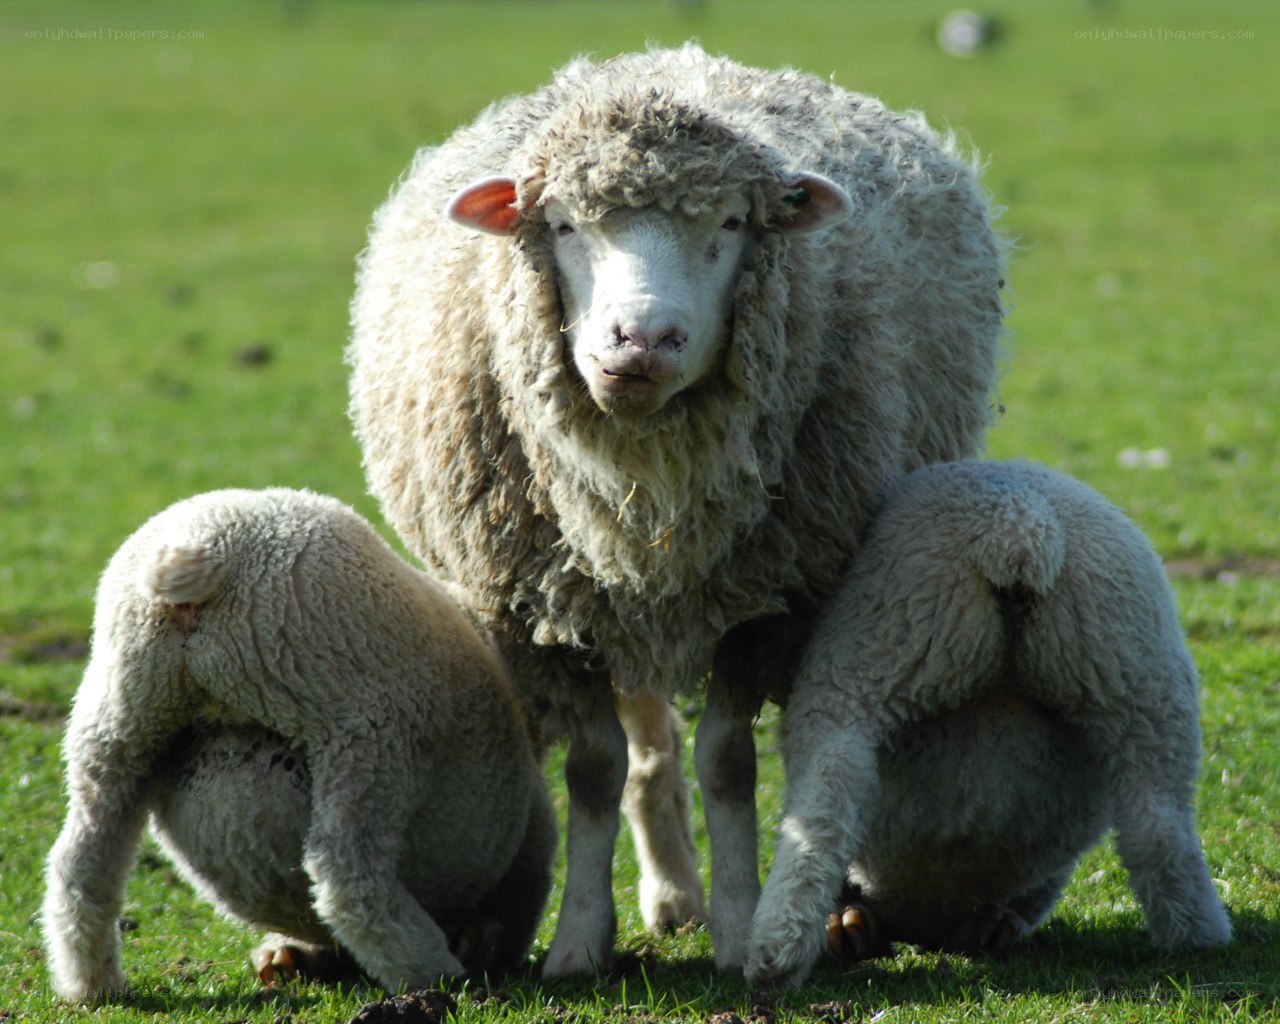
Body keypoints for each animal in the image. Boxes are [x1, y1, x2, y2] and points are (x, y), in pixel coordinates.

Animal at [42, 487, 555, 1002]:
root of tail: (202, 552)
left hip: (122, 712)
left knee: (83, 865)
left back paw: (91, 984)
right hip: (366, 728)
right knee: (342, 872)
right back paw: (433, 973)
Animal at [348, 42, 1006, 976]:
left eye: (729, 225)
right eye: (564, 225)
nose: (643, 339)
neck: (645, 478)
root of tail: (670, 60)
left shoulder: (763, 605)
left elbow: (728, 764)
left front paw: (737, 927)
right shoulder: (548, 614)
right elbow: (596, 772)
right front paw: (579, 943)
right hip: (609, 601)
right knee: (647, 753)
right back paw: (668, 897)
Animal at [745, 460, 1232, 987]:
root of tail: (1020, 527)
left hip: (870, 653)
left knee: (829, 796)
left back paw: (779, 950)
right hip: (1140, 677)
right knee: (1158, 823)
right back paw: (1198, 937)